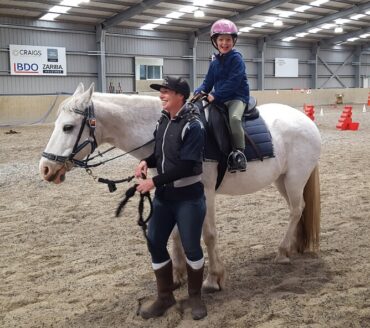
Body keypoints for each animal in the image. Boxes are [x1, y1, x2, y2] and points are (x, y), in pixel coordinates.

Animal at [38, 83, 320, 294]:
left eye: (68, 127)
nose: (45, 169)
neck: (171, 131)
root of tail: (306, 120)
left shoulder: (205, 192)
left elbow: (208, 234)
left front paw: (213, 278)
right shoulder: (169, 188)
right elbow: (174, 233)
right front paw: (178, 275)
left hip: (295, 179)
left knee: (296, 209)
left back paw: (282, 252)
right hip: (282, 180)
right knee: (297, 209)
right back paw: (292, 246)